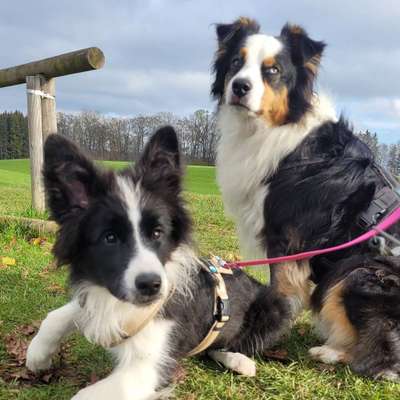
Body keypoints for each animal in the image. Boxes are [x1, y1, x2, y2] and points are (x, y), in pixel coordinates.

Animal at [25, 127, 294, 396]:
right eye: (109, 237)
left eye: (157, 233)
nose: (152, 285)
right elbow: (63, 313)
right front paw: (38, 352)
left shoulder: (146, 369)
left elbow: (86, 394)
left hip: (277, 306)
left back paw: (239, 361)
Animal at [212, 16, 400, 378]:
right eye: (236, 62)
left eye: (272, 70)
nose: (239, 87)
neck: (278, 128)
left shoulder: (288, 244)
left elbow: (280, 299)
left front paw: (239, 349)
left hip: (358, 272)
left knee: (382, 361)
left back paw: (330, 352)